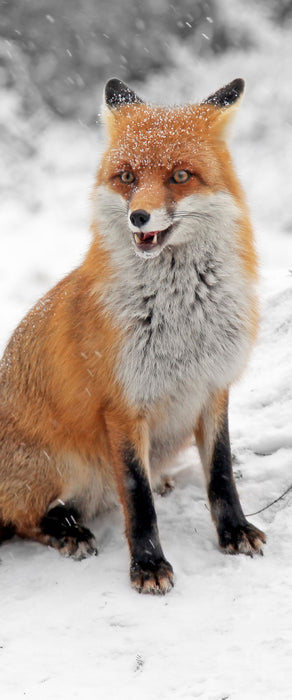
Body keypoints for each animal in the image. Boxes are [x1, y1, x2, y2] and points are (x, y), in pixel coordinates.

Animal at [0, 78, 264, 592]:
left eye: (180, 176)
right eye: (126, 177)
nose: (138, 217)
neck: (183, 319)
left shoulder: (213, 387)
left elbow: (221, 475)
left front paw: (234, 531)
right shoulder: (122, 405)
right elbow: (137, 500)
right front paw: (148, 565)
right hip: (57, 465)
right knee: (23, 519)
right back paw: (65, 530)